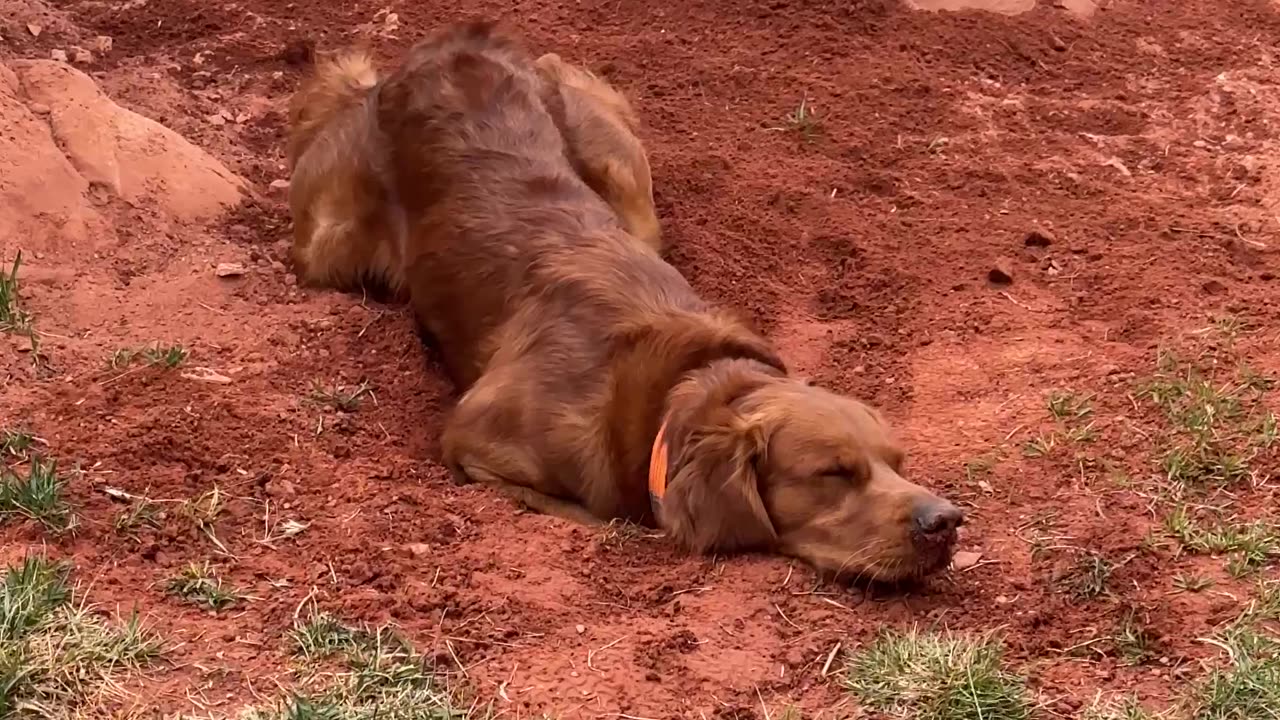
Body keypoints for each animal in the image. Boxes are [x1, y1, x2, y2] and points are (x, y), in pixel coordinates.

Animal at [368, 20, 962, 584]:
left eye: (898, 462)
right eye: (833, 474)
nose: (947, 521)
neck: (670, 397)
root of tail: (459, 41)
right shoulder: (472, 442)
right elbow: (592, 514)